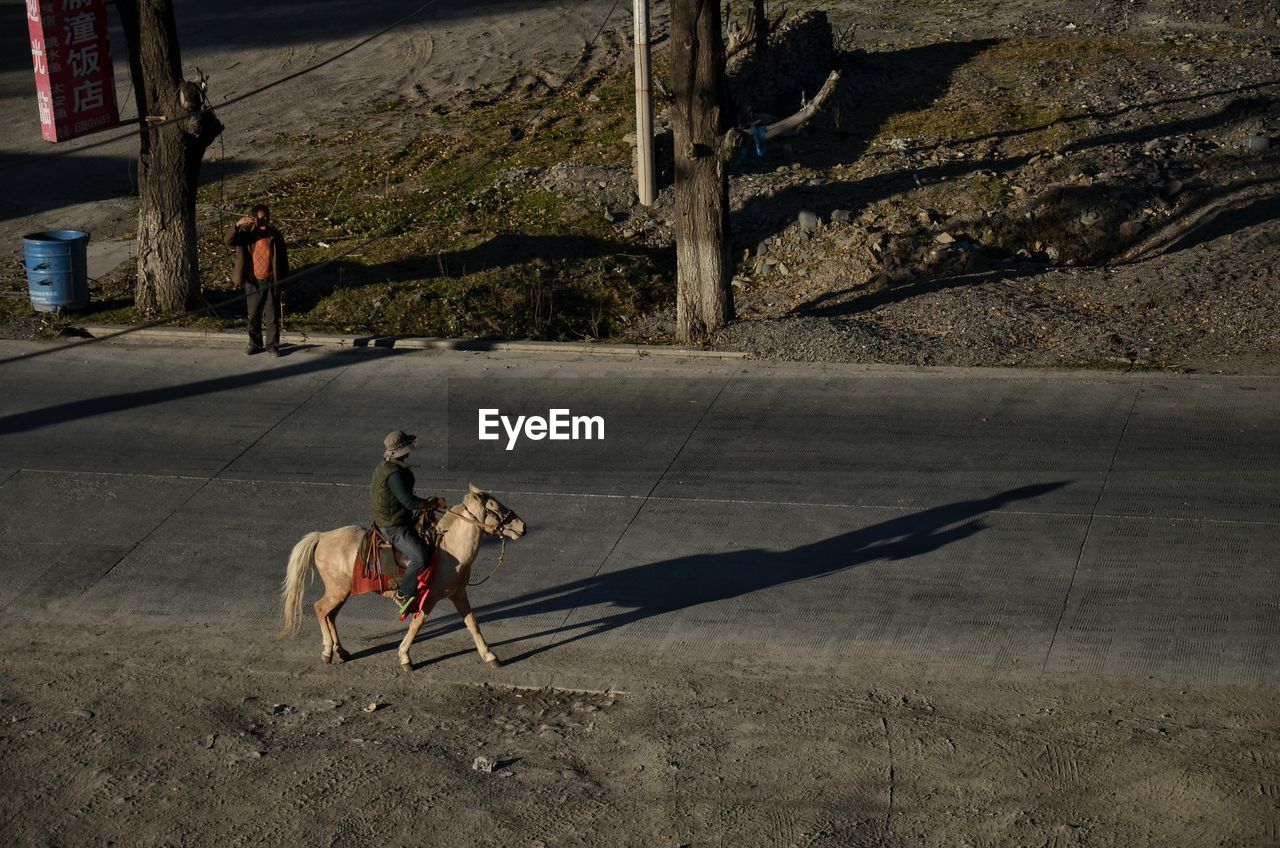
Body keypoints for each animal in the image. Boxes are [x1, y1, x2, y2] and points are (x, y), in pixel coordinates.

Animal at [276, 489, 524, 676]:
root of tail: (321, 537)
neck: (449, 550)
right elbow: (417, 624)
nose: (522, 527)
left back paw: (341, 651)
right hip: (337, 590)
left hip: (342, 591)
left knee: (331, 616)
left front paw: (490, 656)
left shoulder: (458, 593)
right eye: (495, 507)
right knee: (320, 609)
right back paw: (328, 651)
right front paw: (405, 657)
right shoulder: (429, 598)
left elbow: (472, 623)